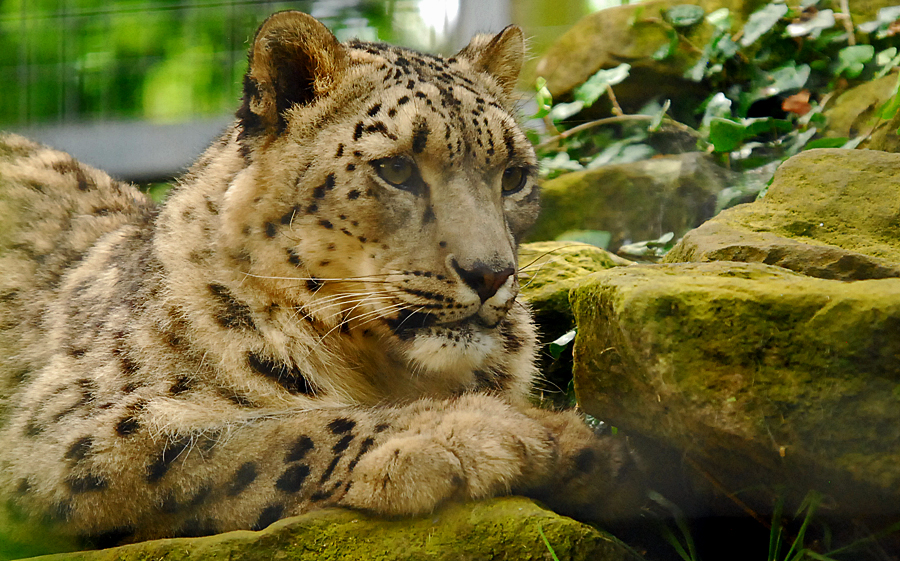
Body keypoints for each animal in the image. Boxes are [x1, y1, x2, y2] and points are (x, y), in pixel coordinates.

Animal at [0, 11, 644, 549]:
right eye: (395, 169)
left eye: (513, 176)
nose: (490, 273)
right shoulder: (64, 435)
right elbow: (267, 436)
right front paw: (483, 432)